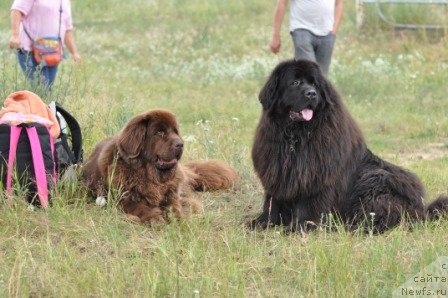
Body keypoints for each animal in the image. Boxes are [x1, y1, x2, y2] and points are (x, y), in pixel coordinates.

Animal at [84, 109, 238, 224]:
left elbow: (174, 206)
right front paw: (154, 218)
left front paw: (176, 217)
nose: (180, 144)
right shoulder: (125, 199)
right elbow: (141, 208)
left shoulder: (170, 195)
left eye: (175, 131)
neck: (150, 176)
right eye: (159, 132)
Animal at [248, 59, 448, 234]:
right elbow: (272, 204)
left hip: (375, 178)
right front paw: (261, 223)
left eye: (315, 84)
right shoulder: (278, 177)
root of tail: (420, 208)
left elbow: (308, 207)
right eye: (295, 82)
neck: (296, 137)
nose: (311, 93)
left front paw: (299, 227)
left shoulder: (316, 180)